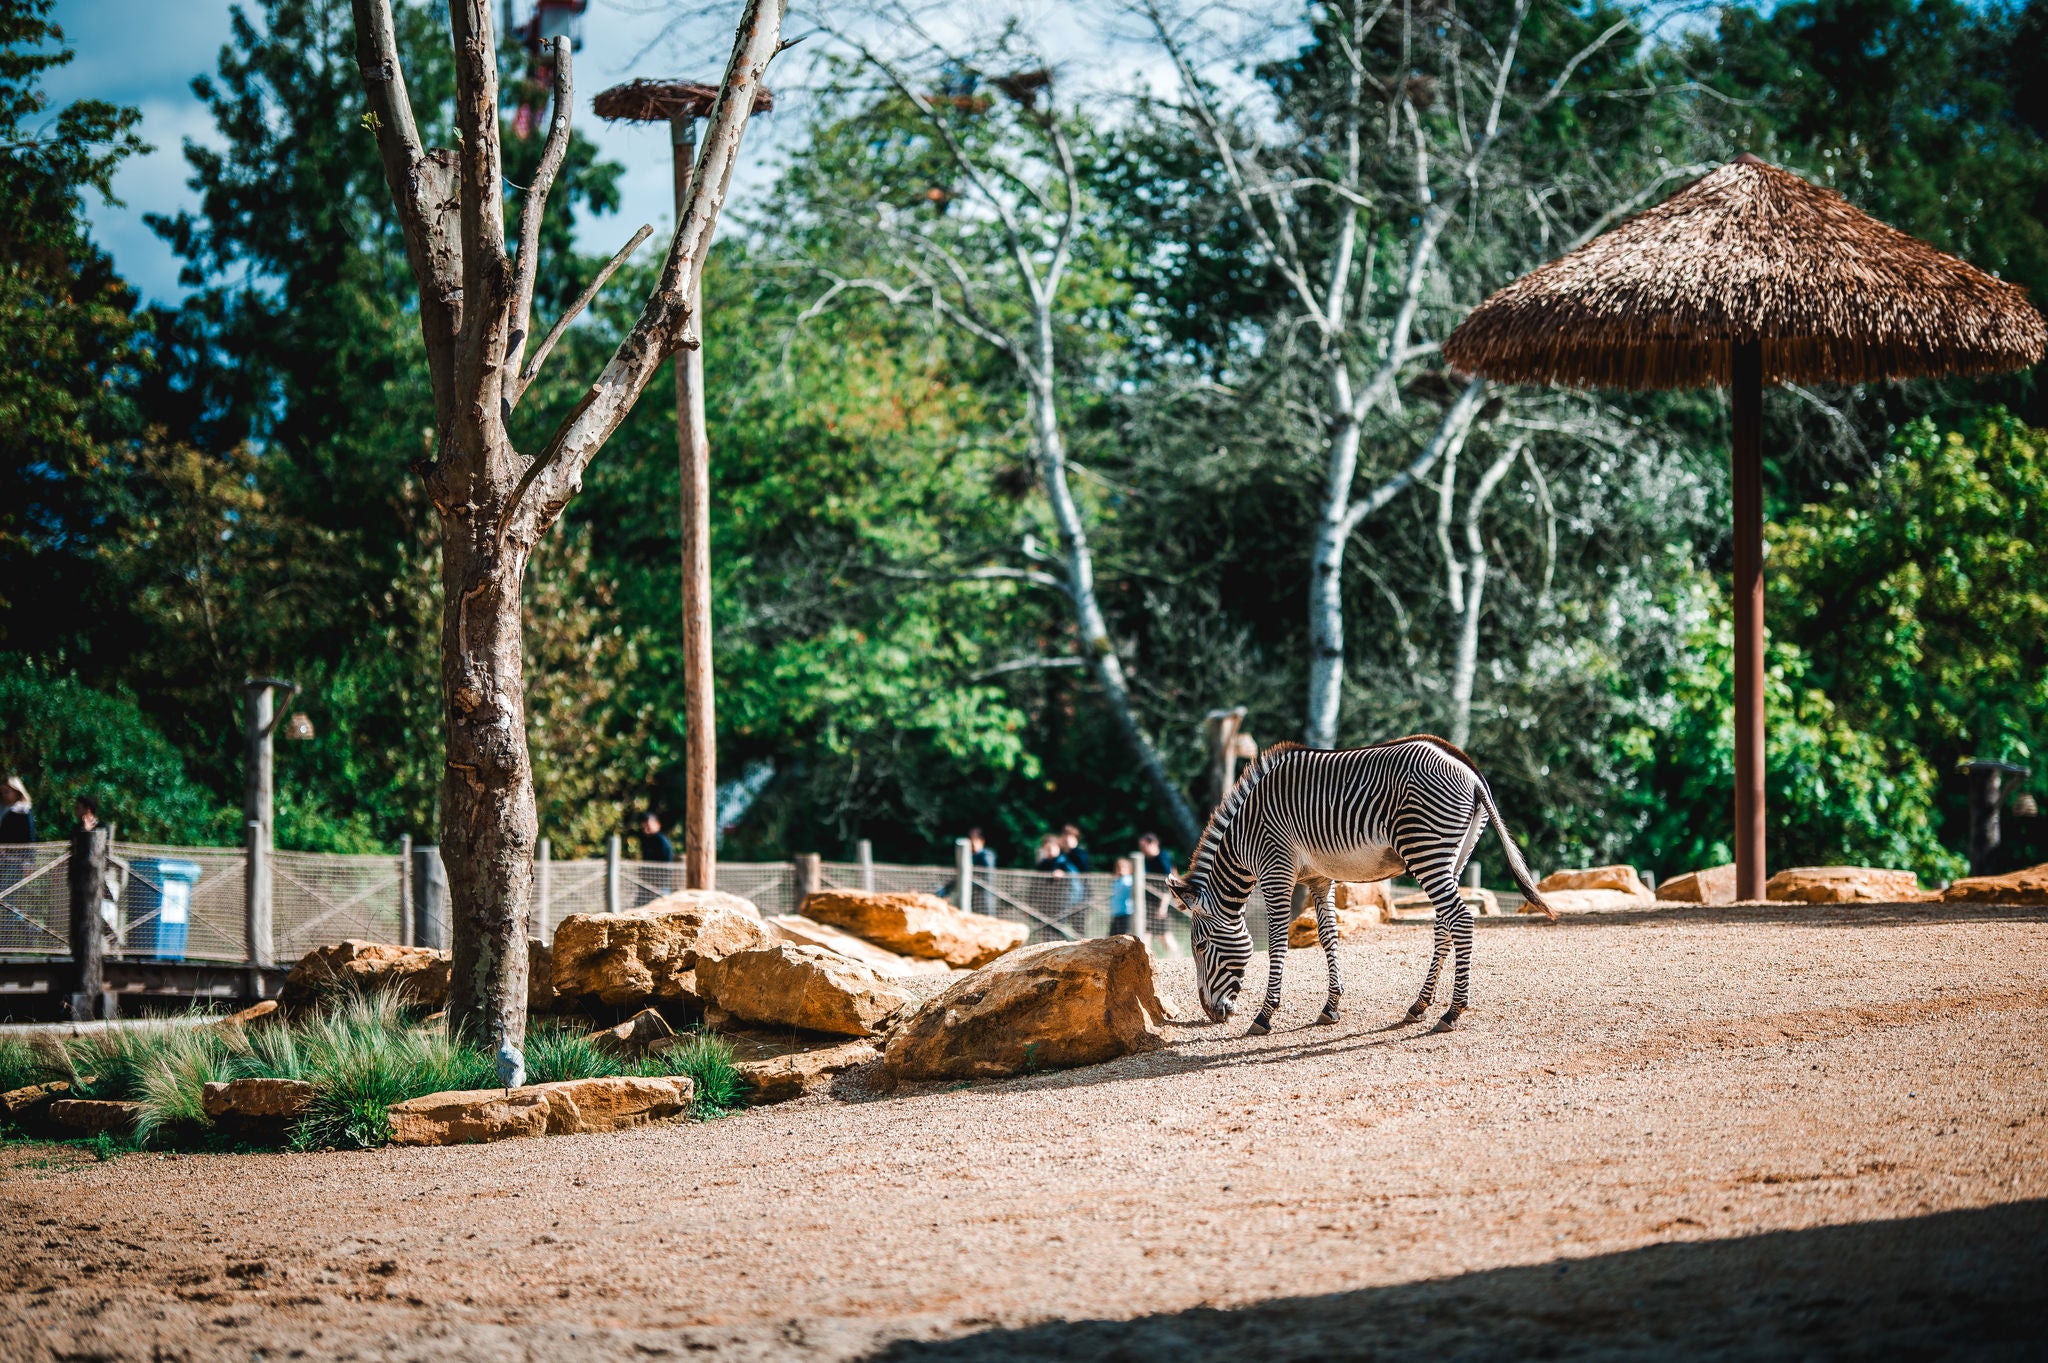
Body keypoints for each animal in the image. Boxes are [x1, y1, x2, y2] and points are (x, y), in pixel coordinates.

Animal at [1171, 732, 1548, 1031]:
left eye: (1200, 946)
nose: (1211, 1014)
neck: (1243, 838)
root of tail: (1469, 769)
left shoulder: (1276, 870)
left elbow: (1277, 941)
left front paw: (1265, 1015)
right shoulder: (1319, 878)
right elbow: (1328, 936)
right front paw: (1331, 1007)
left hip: (1425, 850)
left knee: (1462, 920)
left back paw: (1452, 1012)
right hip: (1454, 855)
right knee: (1444, 924)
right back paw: (1419, 1006)